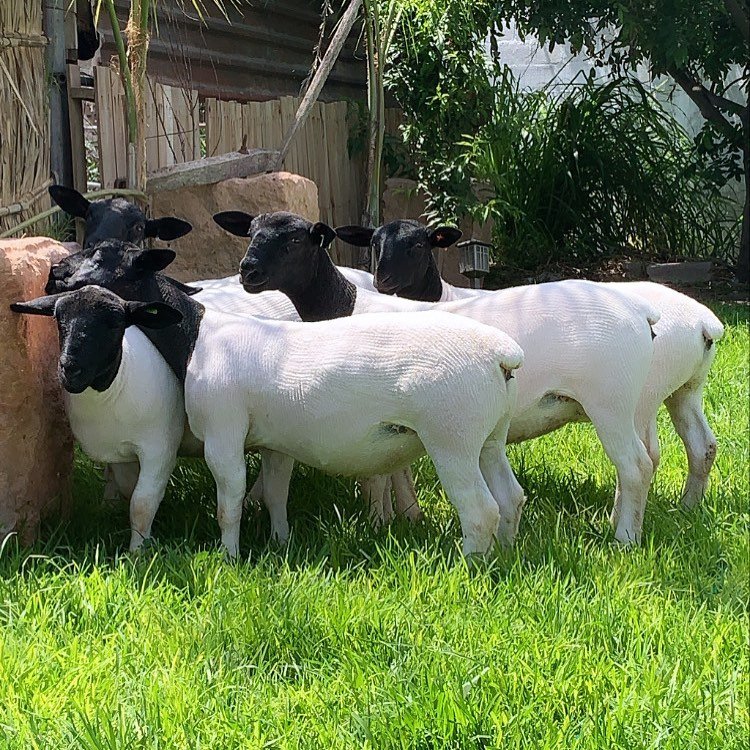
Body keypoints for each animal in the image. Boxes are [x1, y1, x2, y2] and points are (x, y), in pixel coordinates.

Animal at [10, 286, 186, 552]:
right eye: (58, 319)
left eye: (115, 324)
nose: (70, 368)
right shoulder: (122, 454)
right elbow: (127, 487)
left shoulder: (160, 450)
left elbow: (141, 504)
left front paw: (137, 551)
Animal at [47, 239, 526, 558]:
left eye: (104, 258)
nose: (57, 272)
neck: (198, 332)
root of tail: (501, 355)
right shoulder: (274, 442)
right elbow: (275, 494)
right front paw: (280, 543)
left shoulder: (223, 435)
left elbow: (229, 503)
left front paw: (229, 559)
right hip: (489, 438)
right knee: (510, 498)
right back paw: (505, 555)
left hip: (452, 438)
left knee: (480, 510)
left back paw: (472, 565)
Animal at [214, 210, 661, 545]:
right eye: (251, 232)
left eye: (293, 241)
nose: (247, 272)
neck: (345, 305)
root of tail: (639, 312)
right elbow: (394, 469)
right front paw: (401, 517)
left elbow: (377, 476)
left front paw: (380, 522)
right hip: (630, 405)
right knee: (641, 464)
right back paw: (623, 524)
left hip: (610, 402)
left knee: (635, 466)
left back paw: (624, 539)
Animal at [336, 220, 724, 510]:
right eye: (374, 244)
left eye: (418, 246)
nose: (382, 280)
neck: (442, 298)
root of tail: (703, 320)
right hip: (685, 390)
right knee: (701, 447)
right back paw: (687, 507)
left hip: (636, 400)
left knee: (647, 458)